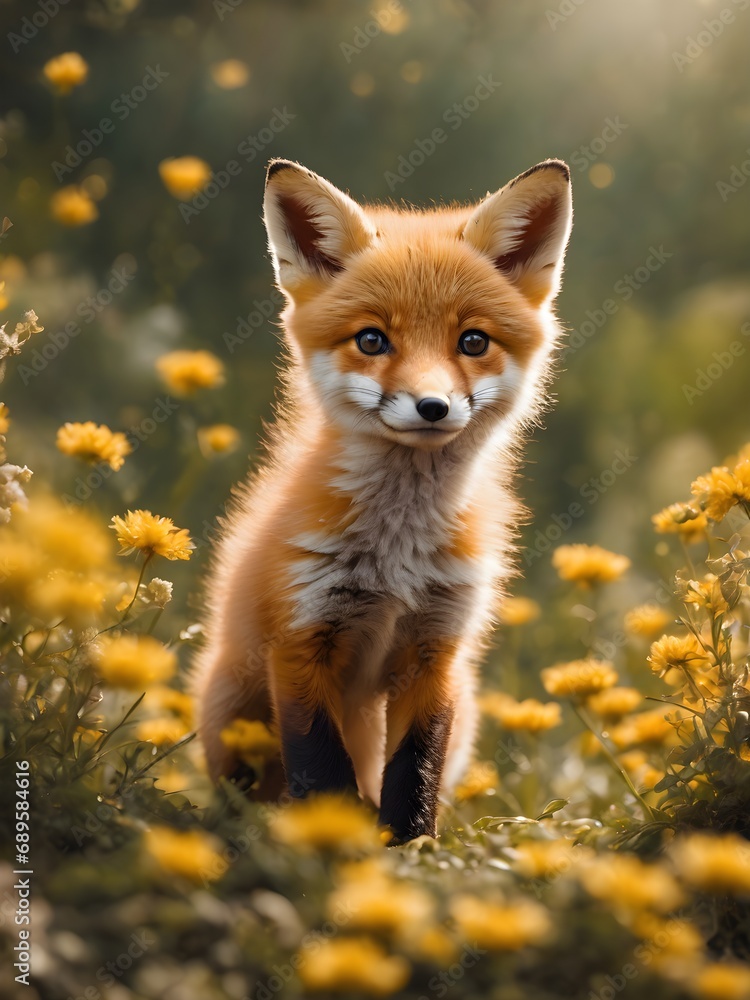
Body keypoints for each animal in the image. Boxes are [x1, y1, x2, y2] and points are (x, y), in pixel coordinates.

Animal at [192, 156, 573, 843]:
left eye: (473, 342)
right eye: (371, 341)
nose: (432, 406)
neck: (397, 555)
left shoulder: (436, 652)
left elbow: (415, 769)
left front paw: (411, 848)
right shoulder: (300, 641)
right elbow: (323, 769)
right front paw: (341, 844)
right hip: (234, 706)